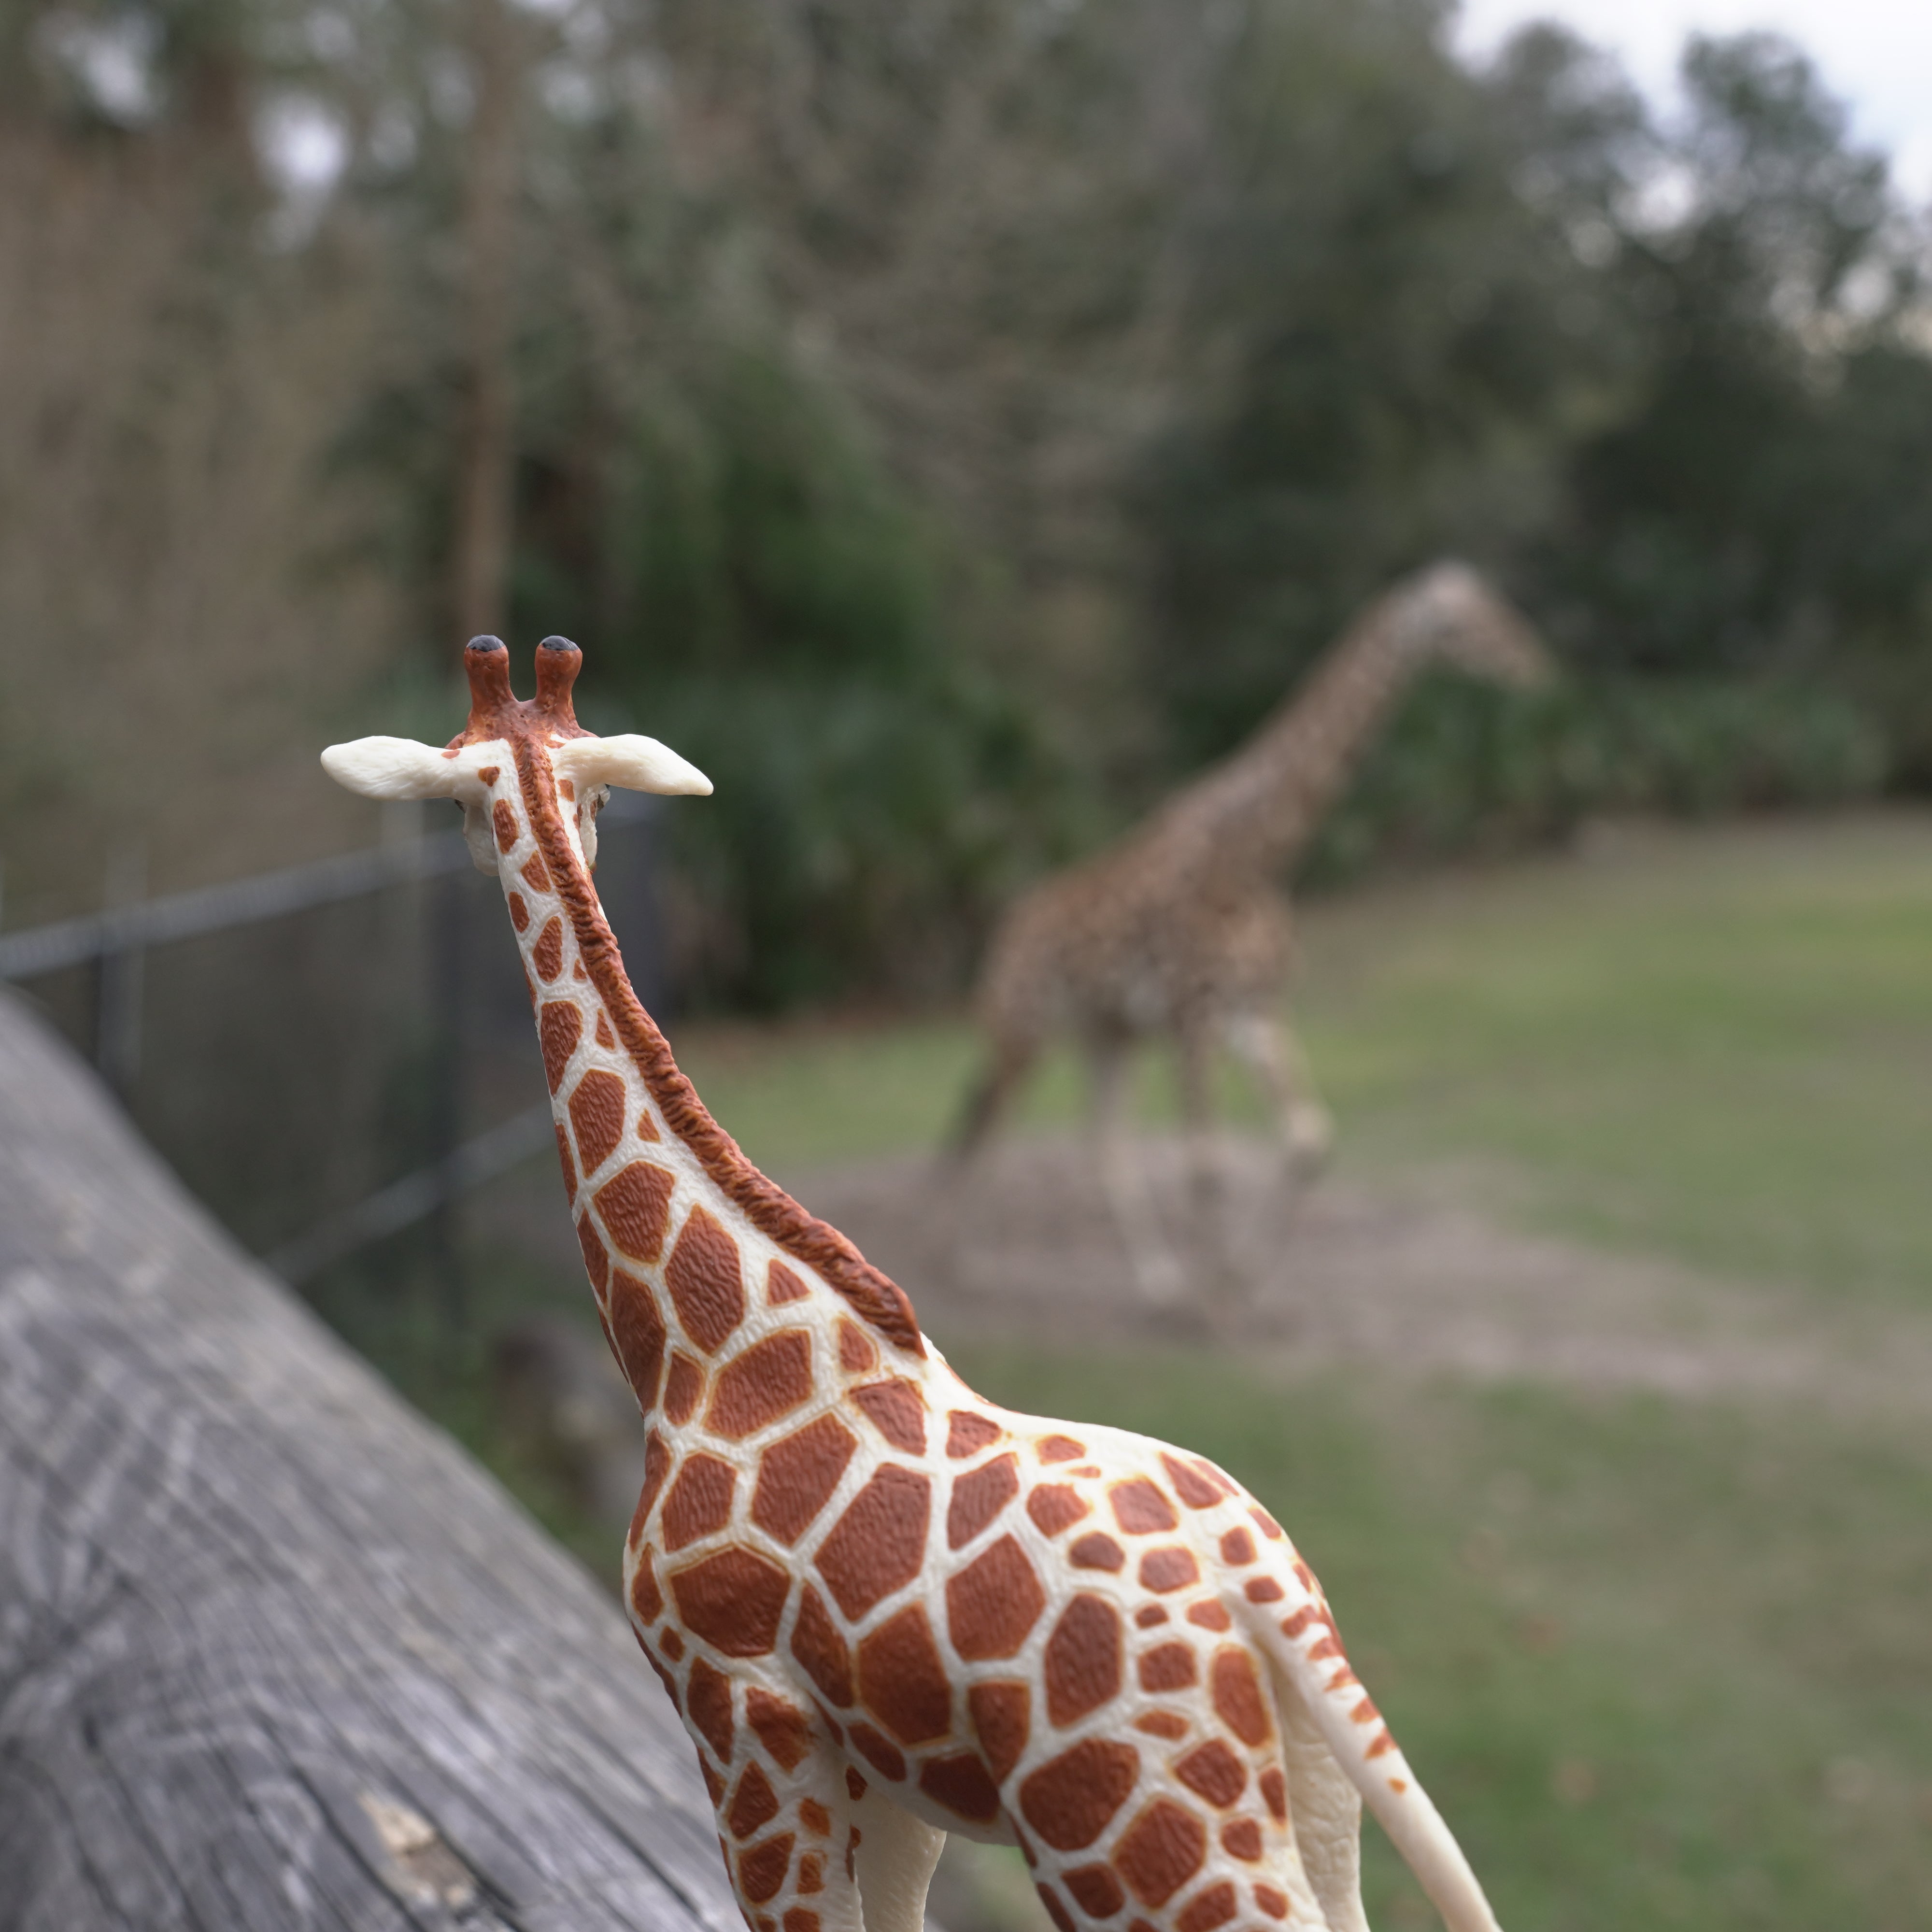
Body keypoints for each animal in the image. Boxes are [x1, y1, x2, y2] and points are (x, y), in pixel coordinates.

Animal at [328, 634, 1507, 1932]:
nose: (549, 845)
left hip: (1119, 1833)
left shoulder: (740, 1718)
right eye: (576, 792)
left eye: (457, 794)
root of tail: (1268, 1595)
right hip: (1314, 1788)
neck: (704, 1345)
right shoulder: (885, 1770)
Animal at [943, 564, 1546, 1306]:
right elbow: (1207, 1161)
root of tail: (1005, 931)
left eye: (1499, 606)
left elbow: (1309, 1138)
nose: (1535, 666)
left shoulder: (1254, 1009)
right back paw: (963, 1266)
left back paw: (1157, 1282)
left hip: (1106, 1033)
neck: (1261, 855)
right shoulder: (1192, 1013)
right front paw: (1216, 1304)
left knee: (1099, 1145)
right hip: (1022, 1029)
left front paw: (1240, 1278)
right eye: (1460, 625)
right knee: (985, 1128)